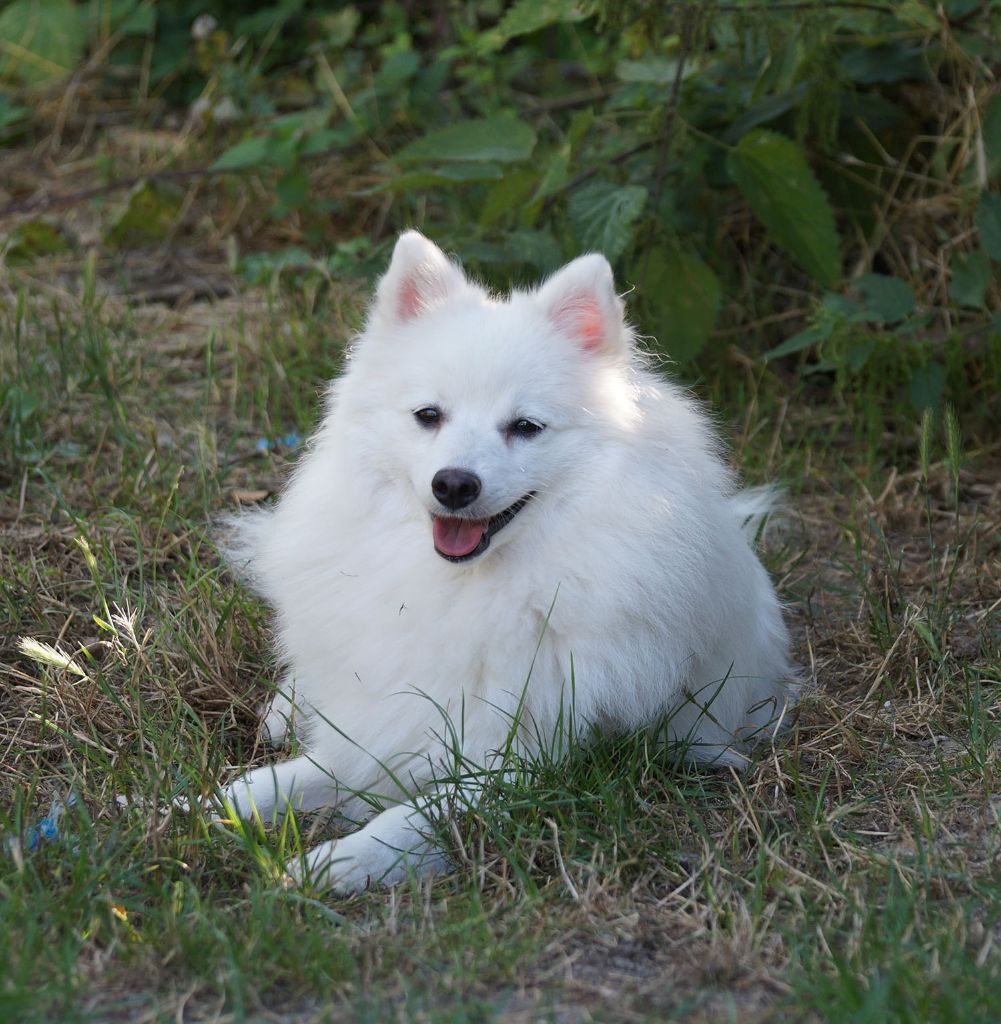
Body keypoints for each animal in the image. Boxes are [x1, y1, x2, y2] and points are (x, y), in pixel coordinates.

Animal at [214, 232, 790, 888]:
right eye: (429, 415)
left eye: (525, 426)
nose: (454, 484)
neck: (464, 588)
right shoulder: (377, 729)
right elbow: (266, 784)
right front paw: (183, 811)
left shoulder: (523, 763)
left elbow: (409, 819)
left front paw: (332, 865)